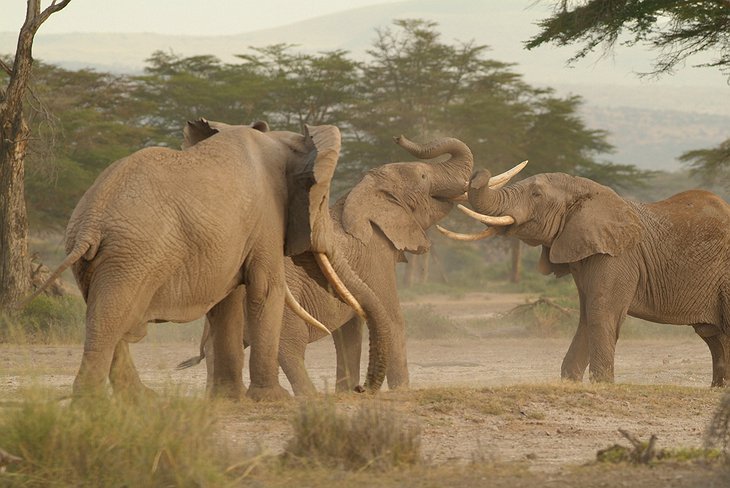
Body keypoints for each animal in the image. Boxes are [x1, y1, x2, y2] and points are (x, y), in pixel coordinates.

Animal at [32, 118, 392, 400]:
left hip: (101, 260)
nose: (360, 389)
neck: (285, 140)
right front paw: (275, 399)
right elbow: (266, 289)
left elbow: (228, 301)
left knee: (106, 317)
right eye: (322, 199)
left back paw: (140, 399)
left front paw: (229, 398)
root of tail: (89, 224)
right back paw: (96, 402)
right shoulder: (266, 217)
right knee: (114, 319)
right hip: (133, 257)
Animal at [438, 170, 728, 386]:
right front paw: (570, 382)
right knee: (713, 335)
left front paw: (602, 385)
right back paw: (717, 388)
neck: (589, 192)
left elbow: (601, 311)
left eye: (536, 194)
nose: (478, 172)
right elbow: (586, 315)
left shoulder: (618, 256)